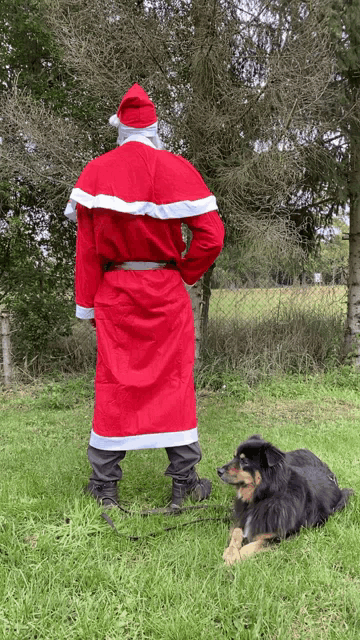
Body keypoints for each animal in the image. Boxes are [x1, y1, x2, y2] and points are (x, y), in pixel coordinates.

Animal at [218, 436, 352, 564]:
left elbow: (255, 544)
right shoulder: (241, 518)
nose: (218, 471)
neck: (264, 496)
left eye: (244, 461)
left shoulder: (281, 536)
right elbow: (236, 532)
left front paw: (237, 557)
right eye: (234, 457)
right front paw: (231, 554)